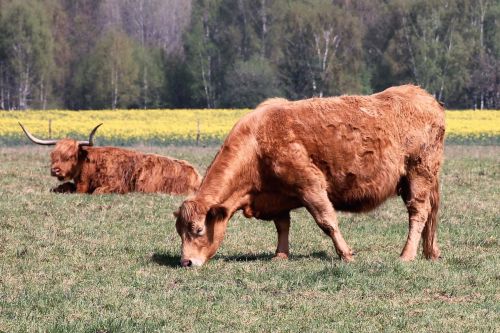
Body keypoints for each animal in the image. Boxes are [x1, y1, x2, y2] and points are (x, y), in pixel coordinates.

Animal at [20, 123, 201, 193]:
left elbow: (97, 191)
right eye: (53, 155)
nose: (55, 170)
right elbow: (60, 187)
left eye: (70, 156)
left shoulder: (116, 185)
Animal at [176, 84, 446, 266]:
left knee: (418, 213)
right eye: (180, 231)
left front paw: (346, 254)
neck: (257, 142)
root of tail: (421, 94)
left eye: (198, 230)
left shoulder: (310, 185)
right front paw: (280, 255)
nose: (186, 262)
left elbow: (327, 221)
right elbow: (282, 225)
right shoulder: (277, 195)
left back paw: (406, 255)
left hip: (418, 174)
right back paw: (430, 252)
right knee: (429, 215)